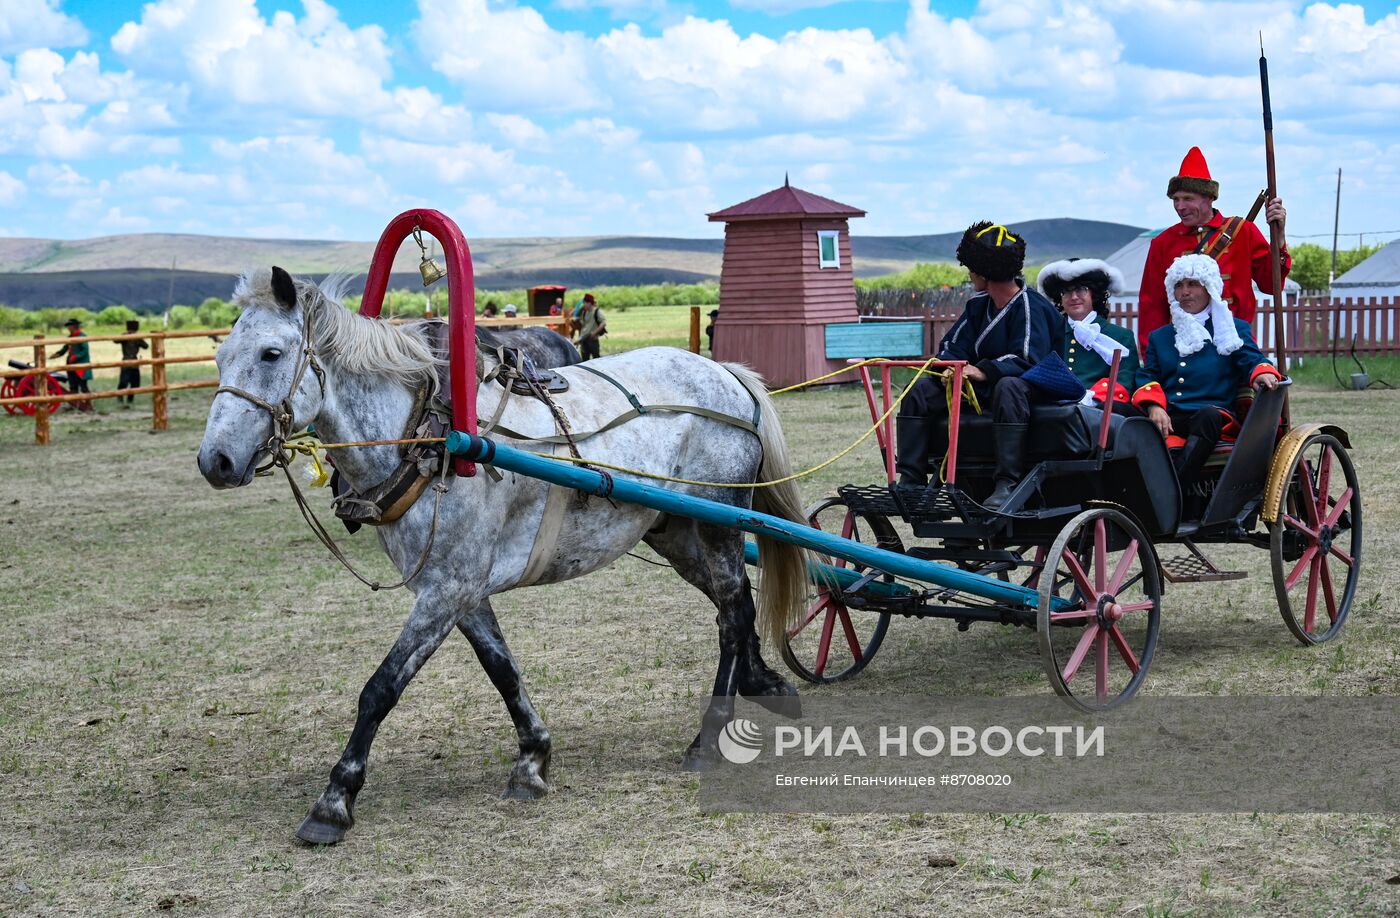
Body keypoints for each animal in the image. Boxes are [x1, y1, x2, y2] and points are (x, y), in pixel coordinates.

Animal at [198, 267, 812, 845]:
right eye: (220, 357)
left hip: (719, 524)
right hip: (675, 532)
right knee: (734, 606)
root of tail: (727, 374)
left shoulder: (446, 591)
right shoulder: (461, 591)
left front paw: (334, 800)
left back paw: (709, 735)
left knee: (733, 612)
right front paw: (533, 758)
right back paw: (764, 682)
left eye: (271, 354)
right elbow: (502, 670)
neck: (432, 436)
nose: (215, 461)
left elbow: (380, 688)